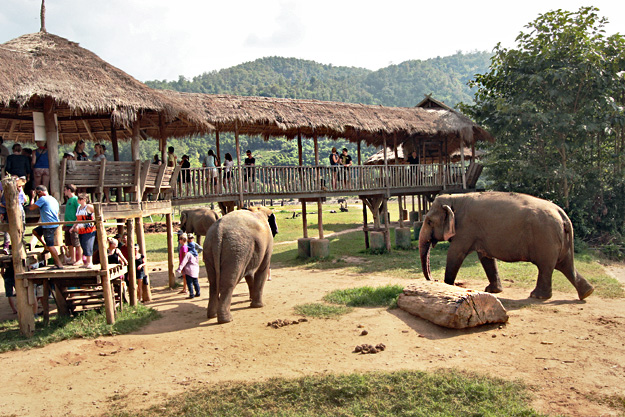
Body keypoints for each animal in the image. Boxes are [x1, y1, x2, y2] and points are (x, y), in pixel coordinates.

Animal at [416, 192, 592, 300]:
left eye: (429, 221)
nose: (433, 279)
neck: (454, 198)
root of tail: (562, 214)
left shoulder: (465, 229)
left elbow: (455, 253)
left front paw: (448, 286)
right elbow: (485, 257)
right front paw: (492, 291)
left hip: (546, 239)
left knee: (546, 266)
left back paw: (537, 296)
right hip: (560, 240)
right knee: (565, 265)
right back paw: (587, 293)